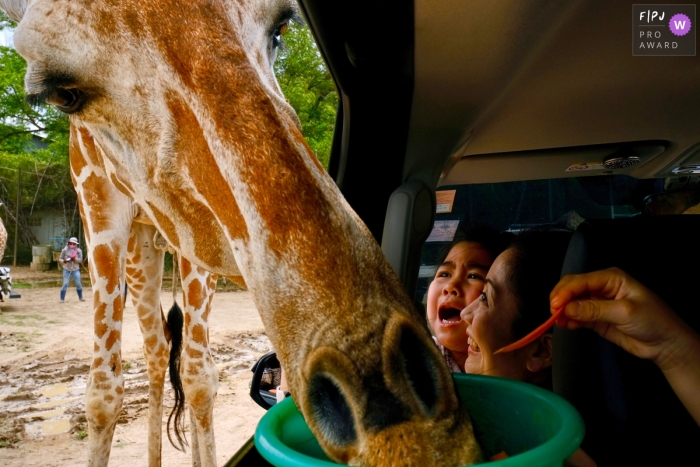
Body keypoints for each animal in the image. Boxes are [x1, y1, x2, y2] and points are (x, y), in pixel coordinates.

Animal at [72, 125, 220, 467]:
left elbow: (200, 380)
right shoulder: (95, 194)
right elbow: (103, 392)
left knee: (195, 362)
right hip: (141, 246)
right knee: (160, 347)